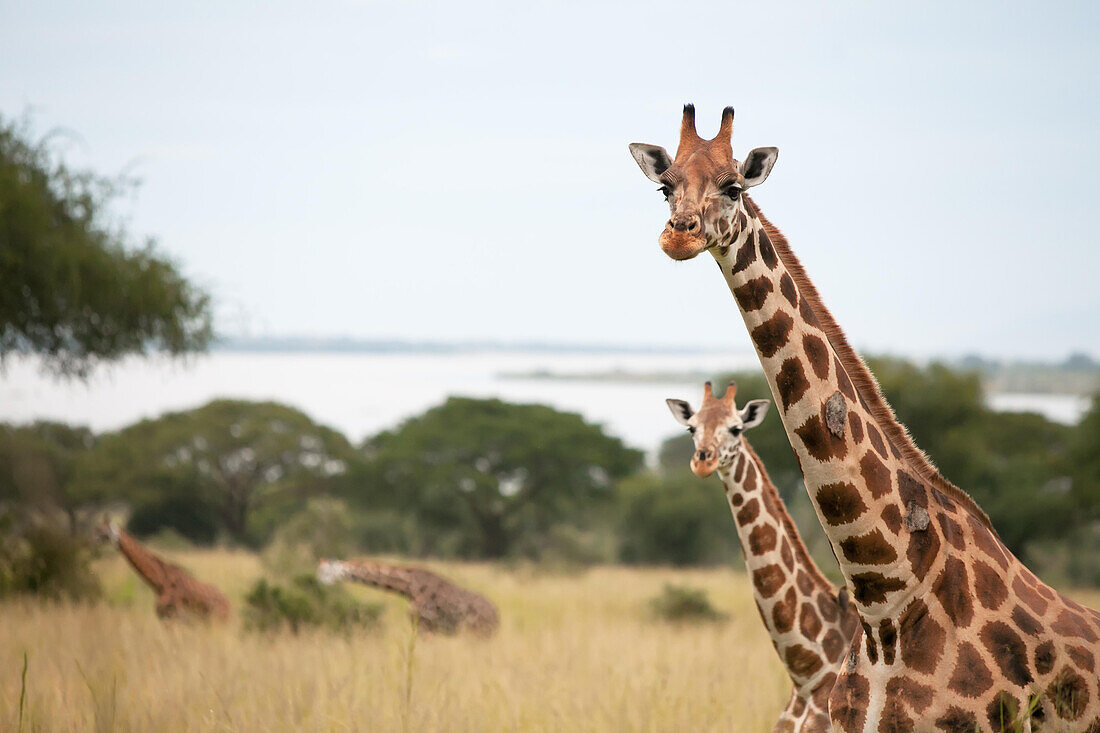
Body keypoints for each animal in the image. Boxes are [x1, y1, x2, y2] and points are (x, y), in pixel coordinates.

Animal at [94, 517, 229, 620]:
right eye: (98, 528)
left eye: (102, 531)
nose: (93, 539)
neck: (159, 582)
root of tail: (228, 604)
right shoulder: (164, 617)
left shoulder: (177, 616)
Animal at [316, 559, 501, 633]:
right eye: (320, 570)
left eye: (325, 572)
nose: (318, 581)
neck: (409, 586)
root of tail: (496, 615)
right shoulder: (419, 625)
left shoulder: (424, 624)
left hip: (477, 632)